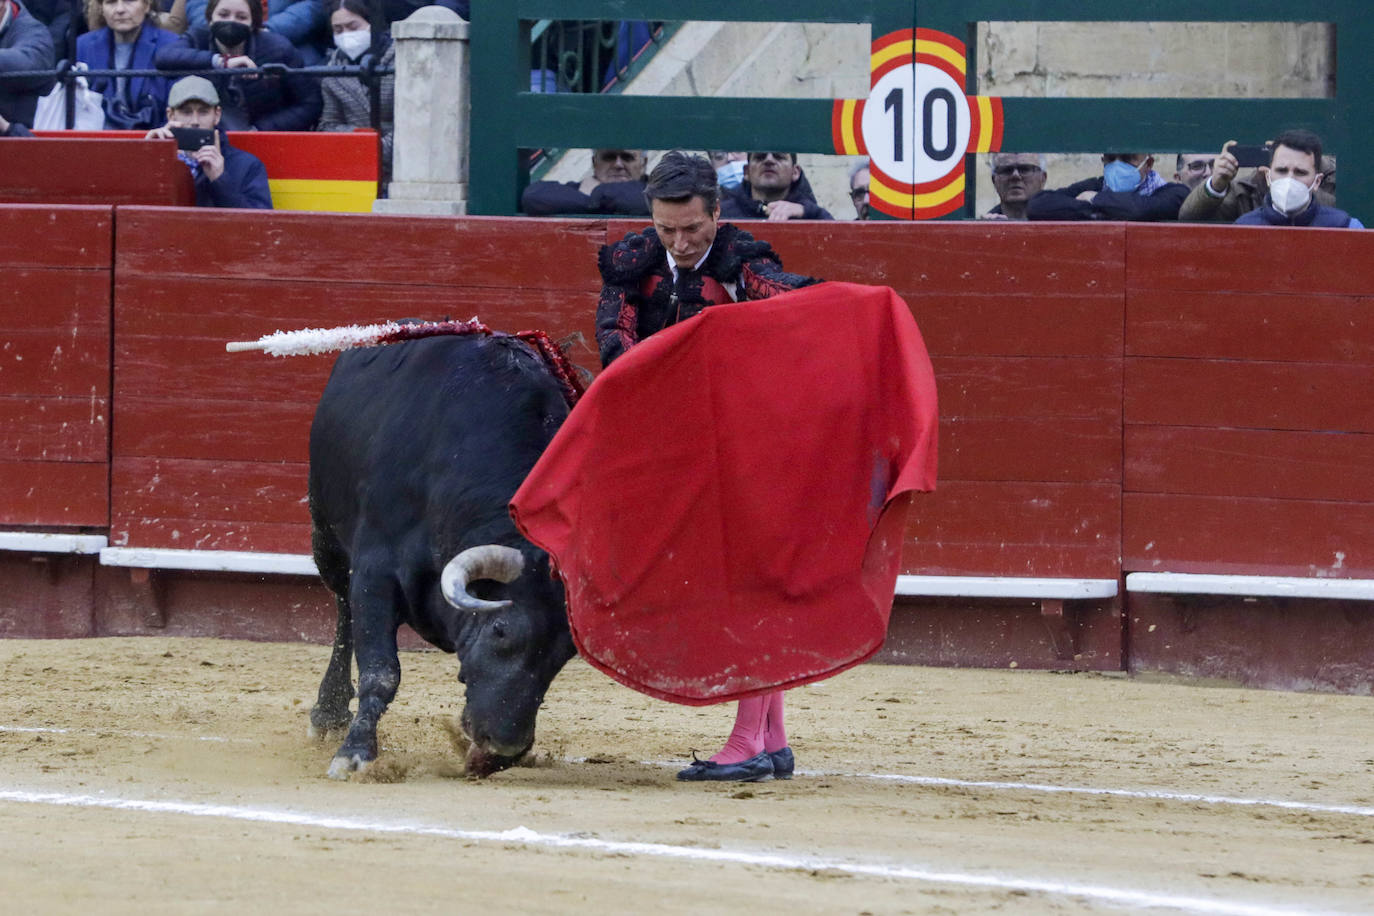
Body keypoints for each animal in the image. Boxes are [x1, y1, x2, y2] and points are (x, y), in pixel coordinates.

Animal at [305, 333, 574, 780]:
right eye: (500, 630)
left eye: (565, 654)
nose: (504, 747)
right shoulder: (374, 573)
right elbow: (380, 672)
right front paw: (355, 753)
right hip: (325, 538)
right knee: (343, 614)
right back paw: (327, 713)